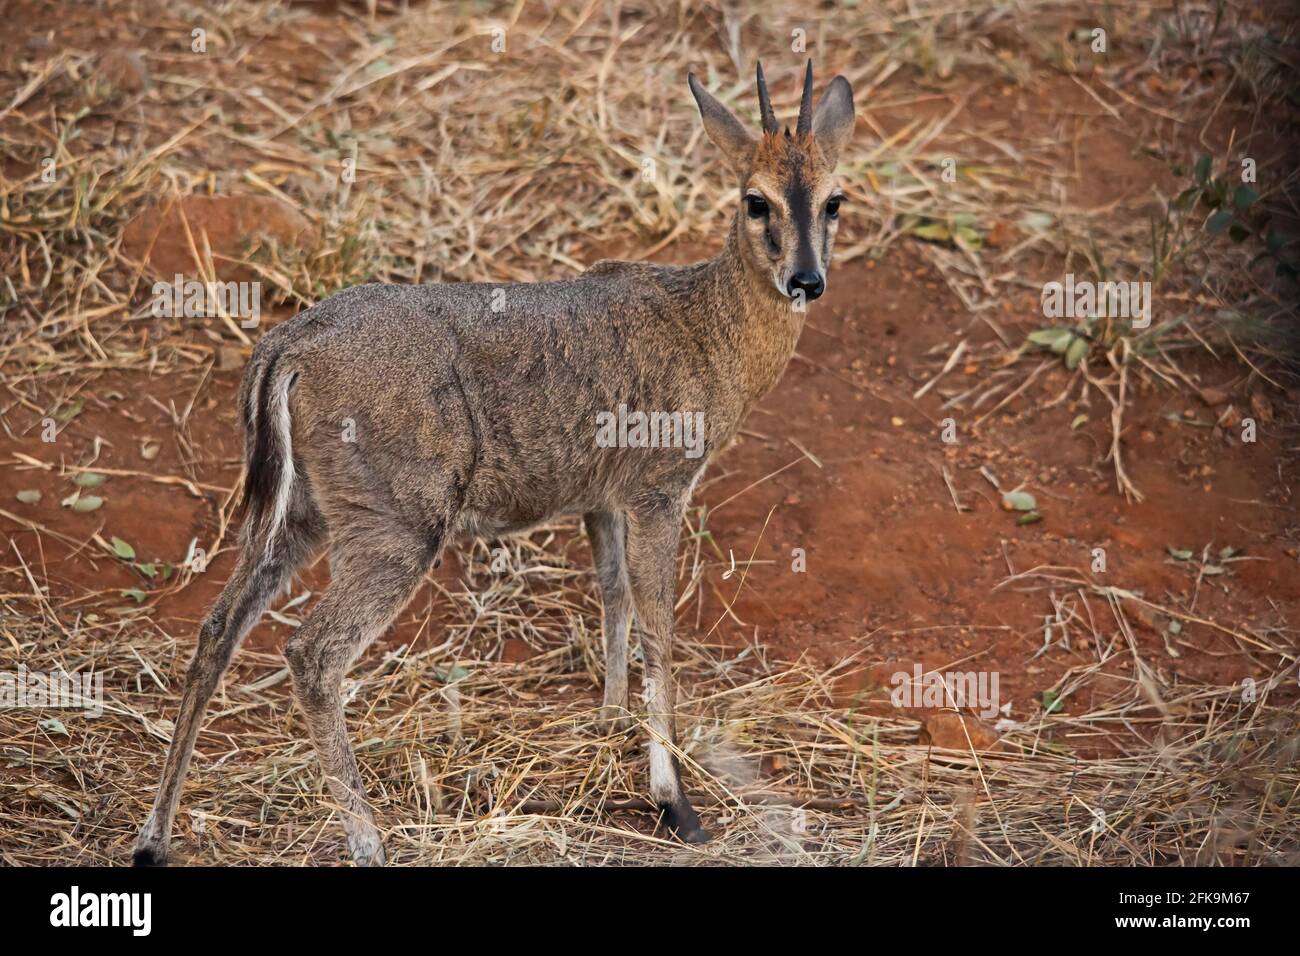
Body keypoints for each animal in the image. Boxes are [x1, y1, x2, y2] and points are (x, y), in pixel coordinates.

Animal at [137, 61, 852, 868]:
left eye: (834, 199)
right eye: (756, 199)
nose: (806, 279)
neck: (703, 323)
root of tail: (290, 344)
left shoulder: (601, 501)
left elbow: (613, 600)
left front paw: (607, 725)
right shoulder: (658, 494)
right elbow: (659, 630)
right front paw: (675, 803)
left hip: (299, 517)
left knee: (216, 630)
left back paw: (154, 838)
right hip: (397, 532)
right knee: (313, 653)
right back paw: (368, 840)